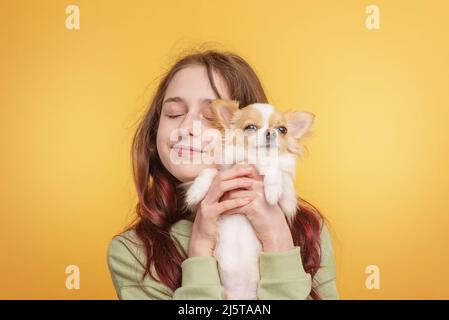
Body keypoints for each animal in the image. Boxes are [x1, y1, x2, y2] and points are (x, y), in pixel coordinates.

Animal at [182, 99, 316, 298]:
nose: (271, 132)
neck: (256, 161)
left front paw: (271, 190)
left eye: (282, 129)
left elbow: (277, 169)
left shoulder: (287, 202)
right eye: (251, 127)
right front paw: (195, 191)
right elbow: (212, 171)